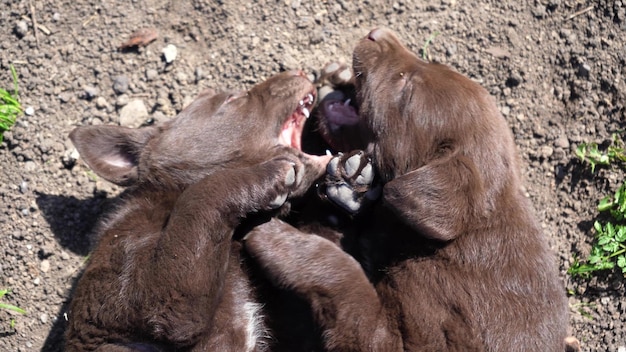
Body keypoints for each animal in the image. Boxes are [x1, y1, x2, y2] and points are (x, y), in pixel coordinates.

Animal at [246, 28, 568, 350]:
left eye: (406, 85)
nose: (376, 32)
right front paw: (350, 183)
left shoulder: (402, 339)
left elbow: (345, 274)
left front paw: (273, 236)